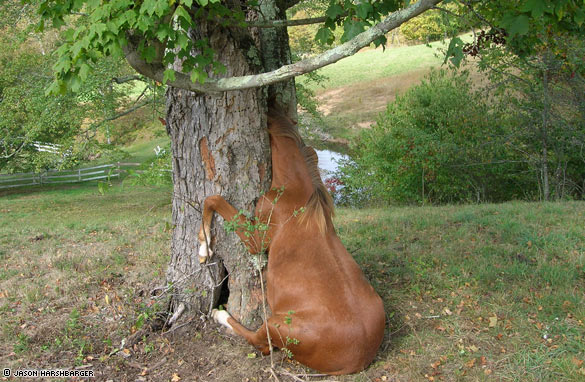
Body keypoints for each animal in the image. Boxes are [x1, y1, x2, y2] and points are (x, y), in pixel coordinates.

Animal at [198, 106, 386, 374]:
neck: (296, 190)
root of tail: (359, 359)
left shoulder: (257, 241)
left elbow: (212, 199)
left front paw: (204, 247)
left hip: (274, 325)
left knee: (260, 343)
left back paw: (219, 315)